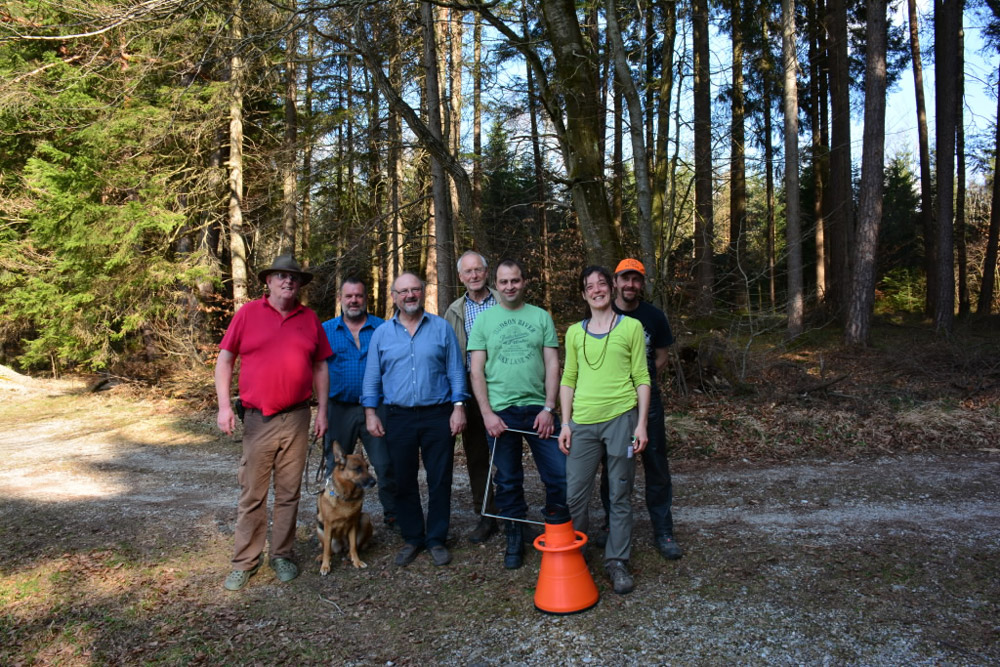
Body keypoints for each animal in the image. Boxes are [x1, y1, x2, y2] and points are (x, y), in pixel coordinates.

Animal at [316, 440, 376, 576]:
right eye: (357, 468)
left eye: (367, 467)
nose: (374, 482)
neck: (346, 497)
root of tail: (342, 546)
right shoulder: (328, 525)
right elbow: (326, 549)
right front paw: (325, 566)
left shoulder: (353, 524)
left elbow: (353, 546)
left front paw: (357, 561)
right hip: (319, 527)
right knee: (329, 549)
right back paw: (322, 557)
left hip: (365, 519)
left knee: (354, 547)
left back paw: (349, 555)